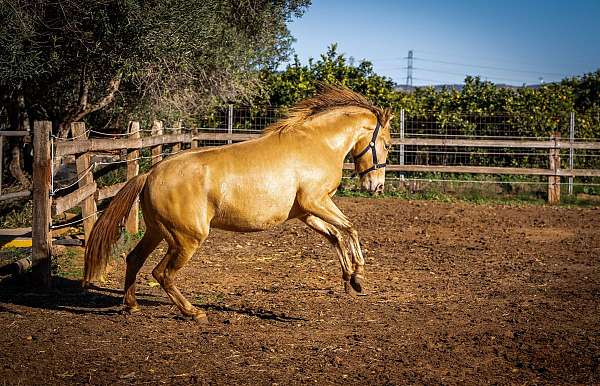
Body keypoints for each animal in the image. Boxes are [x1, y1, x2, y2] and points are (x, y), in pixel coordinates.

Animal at [83, 85, 394, 322]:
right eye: (388, 144)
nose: (376, 186)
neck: (317, 143)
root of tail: (151, 173)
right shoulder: (316, 201)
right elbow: (350, 229)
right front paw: (359, 276)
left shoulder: (307, 211)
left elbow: (336, 236)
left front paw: (350, 279)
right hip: (186, 239)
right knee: (162, 274)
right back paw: (194, 313)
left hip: (158, 232)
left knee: (134, 258)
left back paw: (132, 305)